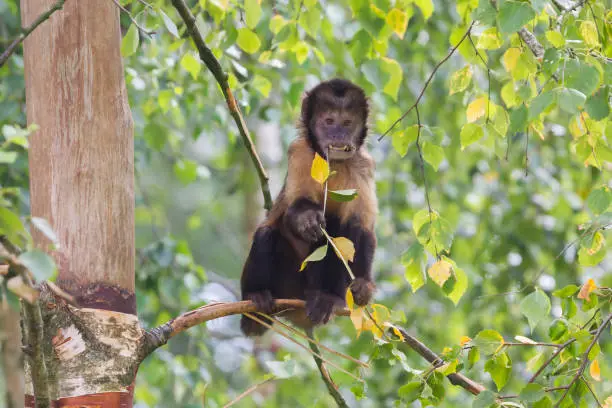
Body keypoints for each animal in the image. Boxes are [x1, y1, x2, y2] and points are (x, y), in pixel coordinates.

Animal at [240, 78, 376, 336]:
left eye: (347, 123)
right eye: (329, 121)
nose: (338, 135)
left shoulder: (363, 164)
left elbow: (361, 227)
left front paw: (364, 284)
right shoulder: (301, 152)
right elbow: (294, 208)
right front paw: (307, 219)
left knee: (340, 229)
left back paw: (329, 298)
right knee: (267, 233)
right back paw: (255, 301)